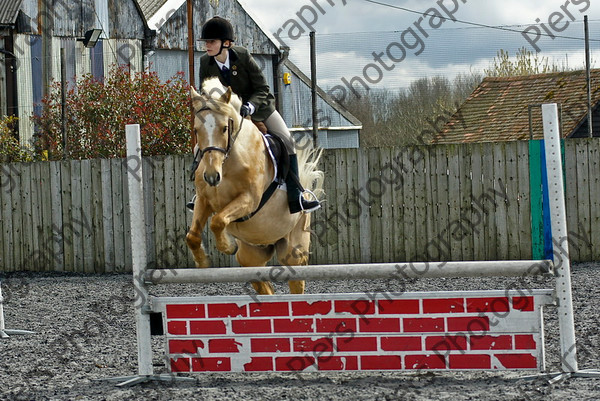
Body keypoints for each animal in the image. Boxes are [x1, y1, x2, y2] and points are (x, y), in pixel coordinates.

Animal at [186, 78, 324, 296]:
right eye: (196, 130)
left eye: (224, 128)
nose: (211, 177)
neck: (227, 162)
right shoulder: (203, 200)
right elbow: (193, 235)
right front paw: (203, 262)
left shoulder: (249, 200)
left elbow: (217, 221)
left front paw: (226, 246)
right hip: (252, 254)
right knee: (263, 284)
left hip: (294, 250)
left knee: (296, 282)